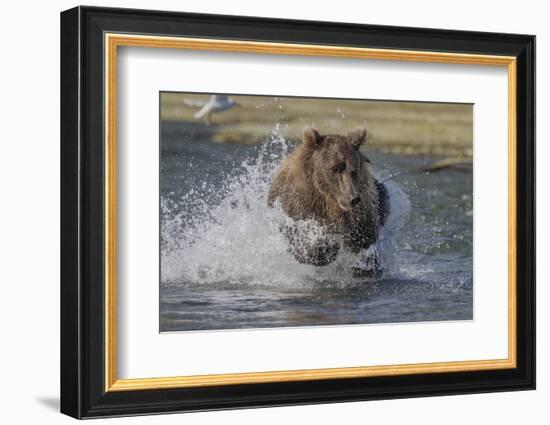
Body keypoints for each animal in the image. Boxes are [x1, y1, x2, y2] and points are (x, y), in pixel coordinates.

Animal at [268, 126, 388, 272]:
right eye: (335, 168)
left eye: (353, 170)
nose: (353, 198)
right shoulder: (299, 203)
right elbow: (297, 232)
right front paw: (327, 248)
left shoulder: (362, 212)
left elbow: (364, 240)